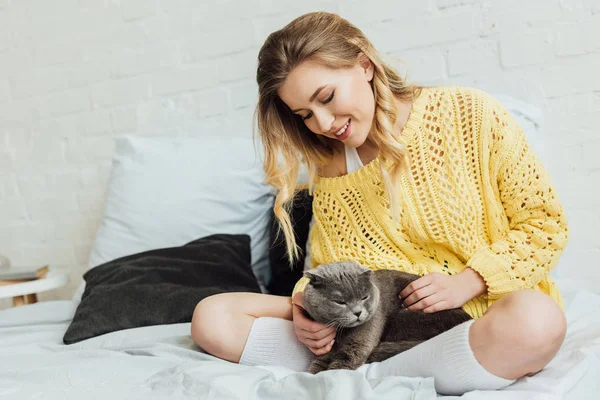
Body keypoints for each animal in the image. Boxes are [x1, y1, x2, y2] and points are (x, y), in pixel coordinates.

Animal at [302, 260, 472, 374]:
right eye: (340, 302)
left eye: (364, 297)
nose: (358, 312)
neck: (340, 332)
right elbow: (317, 364)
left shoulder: (360, 343)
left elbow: (341, 364)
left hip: (403, 319)